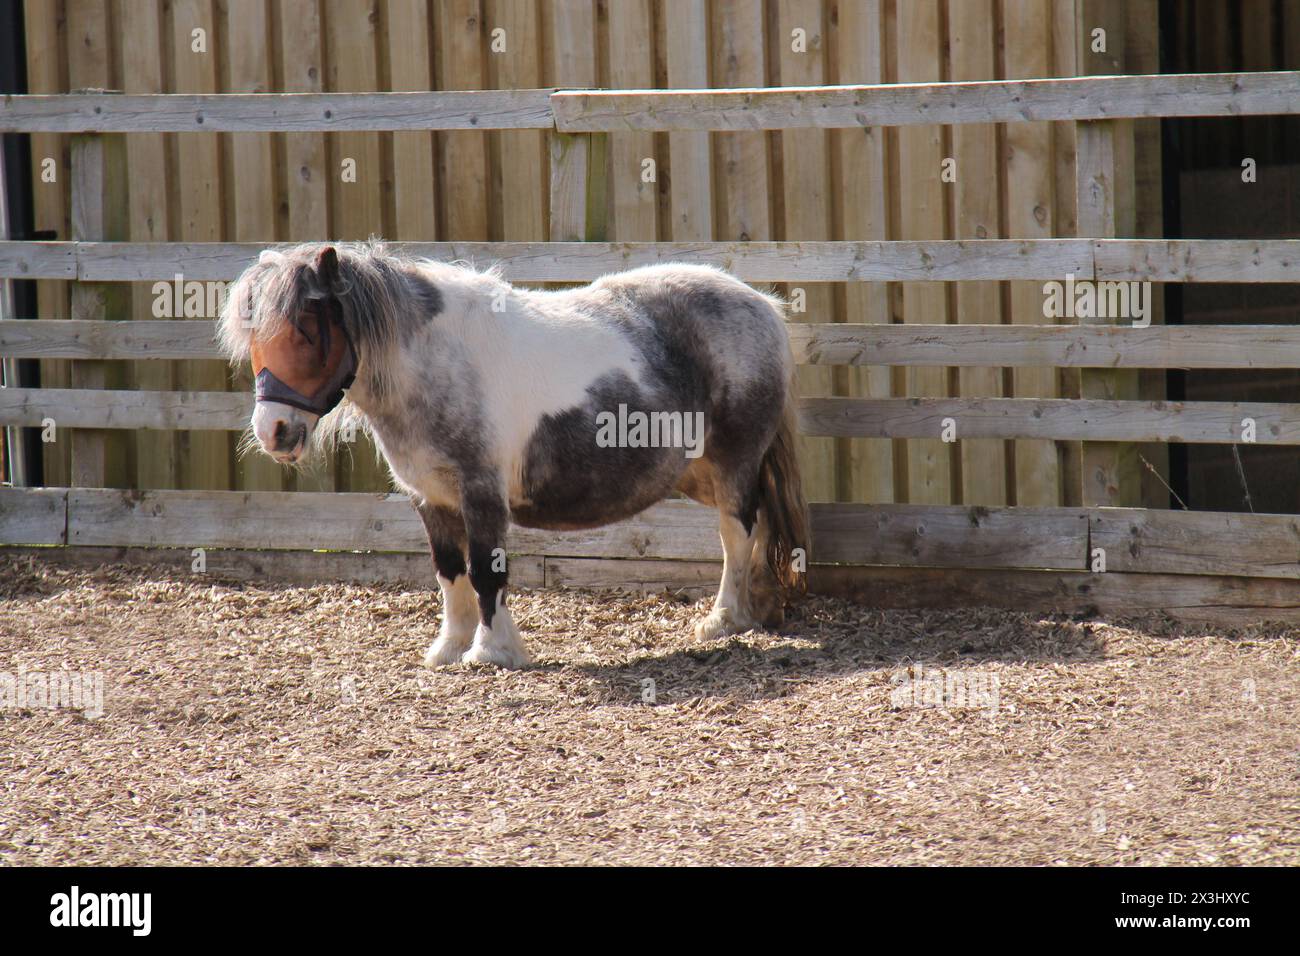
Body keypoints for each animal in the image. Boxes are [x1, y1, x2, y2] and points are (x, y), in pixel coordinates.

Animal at [219, 241, 808, 669]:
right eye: (255, 337)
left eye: (306, 330)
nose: (274, 431)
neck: (436, 363)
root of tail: (762, 305)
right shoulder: (431, 499)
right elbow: (449, 571)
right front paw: (449, 649)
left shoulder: (481, 493)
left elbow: (485, 570)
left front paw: (492, 652)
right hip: (699, 473)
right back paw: (759, 608)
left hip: (733, 463)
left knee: (737, 534)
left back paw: (724, 620)